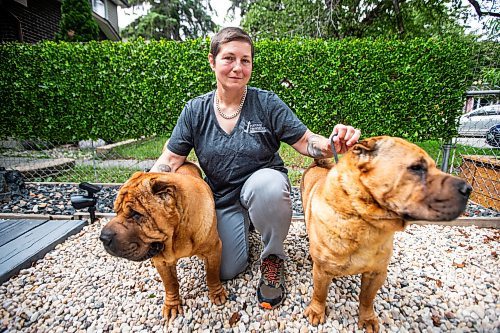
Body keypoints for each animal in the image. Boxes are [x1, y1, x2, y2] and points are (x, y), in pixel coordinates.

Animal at [99, 162, 227, 320]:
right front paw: (172, 305)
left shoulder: (213, 250)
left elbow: (212, 274)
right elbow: (170, 284)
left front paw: (217, 294)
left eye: (135, 214)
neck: (177, 235)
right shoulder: (162, 261)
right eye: (116, 211)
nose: (103, 237)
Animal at [300, 135, 472, 330]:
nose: (468, 189)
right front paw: (316, 312)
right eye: (416, 167)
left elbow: (367, 299)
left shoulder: (377, 273)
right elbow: (319, 294)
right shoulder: (322, 271)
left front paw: (367, 319)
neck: (364, 221)